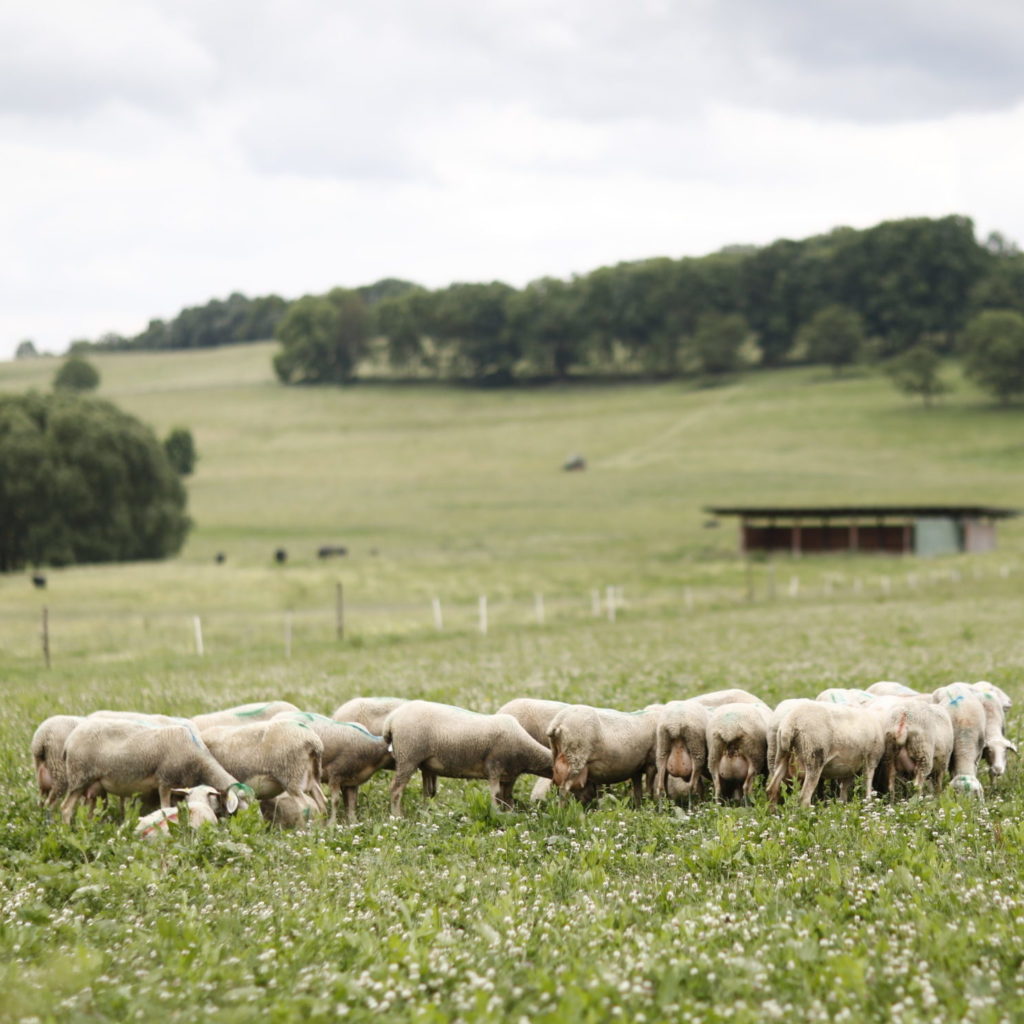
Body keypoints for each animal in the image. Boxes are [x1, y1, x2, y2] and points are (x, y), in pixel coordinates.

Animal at [61, 720, 251, 823]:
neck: (198, 761)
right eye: (237, 807)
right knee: (65, 809)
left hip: (93, 785)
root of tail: (69, 740)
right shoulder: (165, 782)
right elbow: (165, 808)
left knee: (90, 813)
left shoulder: (178, 790)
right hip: (79, 776)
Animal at [380, 696, 552, 815]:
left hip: (422, 762)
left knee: (427, 792)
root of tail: (391, 720)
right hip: (408, 756)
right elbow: (495, 795)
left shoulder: (508, 776)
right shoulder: (494, 767)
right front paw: (497, 813)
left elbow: (507, 798)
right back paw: (397, 816)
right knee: (395, 789)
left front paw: (510, 813)